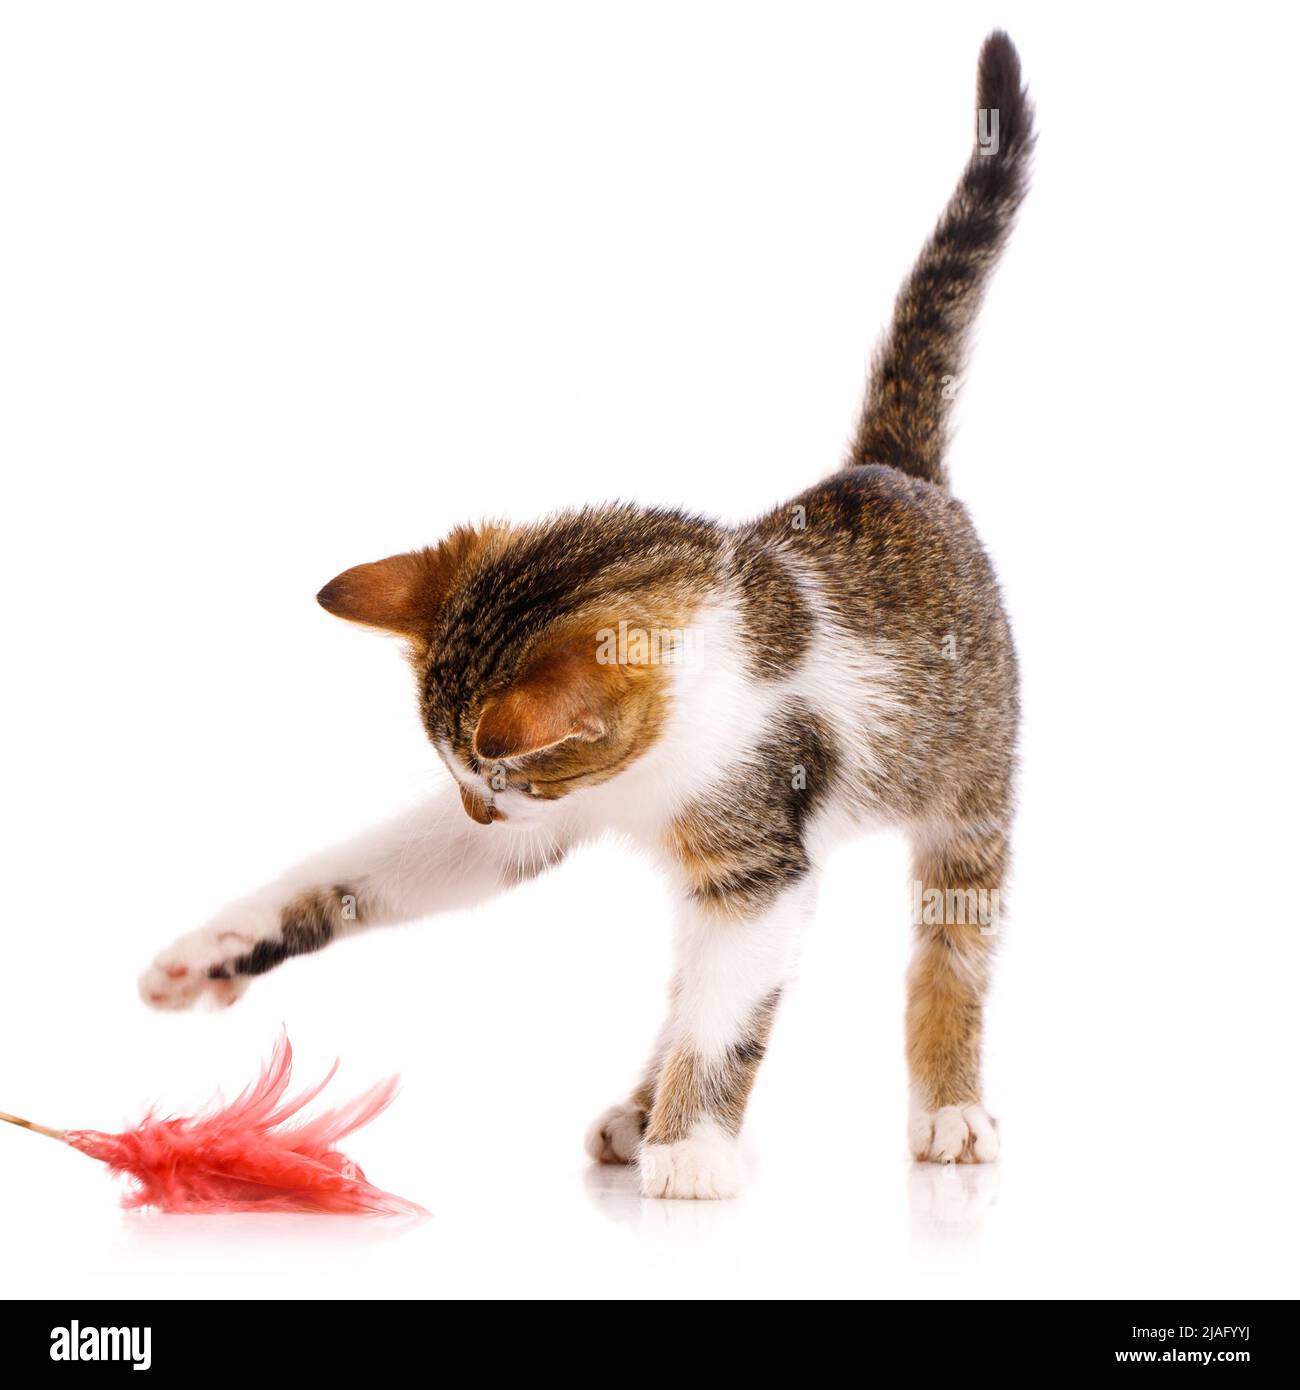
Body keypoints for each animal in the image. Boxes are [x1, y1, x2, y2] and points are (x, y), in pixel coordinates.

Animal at [142, 32, 1034, 1195]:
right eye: (469, 786)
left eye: (503, 776)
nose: (483, 810)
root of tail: (891, 469)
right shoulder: (549, 827)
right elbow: (374, 870)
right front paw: (217, 947)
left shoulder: (757, 856)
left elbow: (732, 1006)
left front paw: (692, 1146)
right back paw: (633, 1107)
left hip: (972, 785)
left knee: (948, 945)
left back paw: (948, 1111)